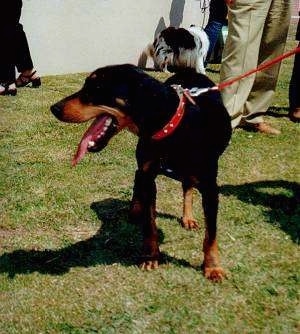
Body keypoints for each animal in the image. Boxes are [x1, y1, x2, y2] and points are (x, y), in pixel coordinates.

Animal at [50, 63, 231, 282]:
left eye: (97, 88)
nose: (54, 108)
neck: (170, 127)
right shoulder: (149, 175)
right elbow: (149, 223)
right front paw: (151, 256)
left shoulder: (211, 187)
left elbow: (211, 233)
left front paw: (213, 267)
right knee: (139, 177)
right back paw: (136, 208)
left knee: (187, 185)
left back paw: (187, 217)